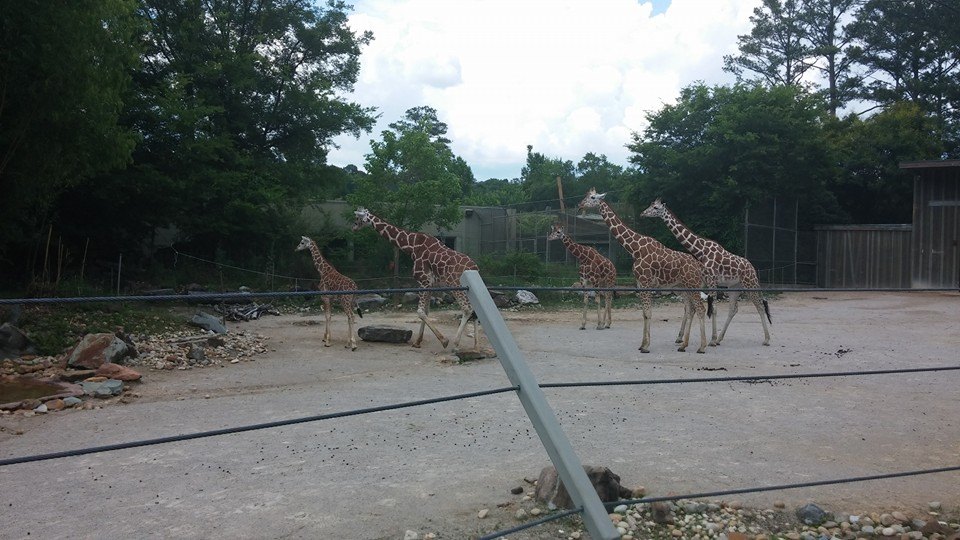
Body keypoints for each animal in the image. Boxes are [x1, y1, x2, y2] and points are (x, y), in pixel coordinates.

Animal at [352, 208, 479, 350]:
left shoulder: (423, 280)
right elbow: (426, 312)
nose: (353, 227)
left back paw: (456, 344)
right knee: (474, 309)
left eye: (357, 218)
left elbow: (420, 312)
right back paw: (476, 346)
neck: (412, 246)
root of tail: (475, 267)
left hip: (455, 286)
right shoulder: (430, 284)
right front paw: (418, 342)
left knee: (467, 309)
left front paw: (444, 340)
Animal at [577, 188, 710, 353]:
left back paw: (702, 347)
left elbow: (648, 312)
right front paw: (642, 344)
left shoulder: (646, 282)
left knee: (700, 309)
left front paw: (646, 346)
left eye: (592, 197)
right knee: (691, 309)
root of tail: (698, 266)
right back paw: (684, 345)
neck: (635, 249)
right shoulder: (639, 283)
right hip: (684, 286)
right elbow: (644, 314)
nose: (580, 205)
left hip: (692, 285)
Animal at [640, 198, 771, 346]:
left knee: (760, 305)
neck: (701, 250)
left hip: (750, 284)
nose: (642, 213)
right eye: (650, 205)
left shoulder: (712, 280)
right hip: (735, 287)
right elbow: (700, 308)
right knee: (733, 309)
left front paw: (711, 340)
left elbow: (713, 308)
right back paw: (720, 338)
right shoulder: (706, 282)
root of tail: (752, 268)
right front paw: (709, 338)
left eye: (656, 208)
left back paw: (766, 339)